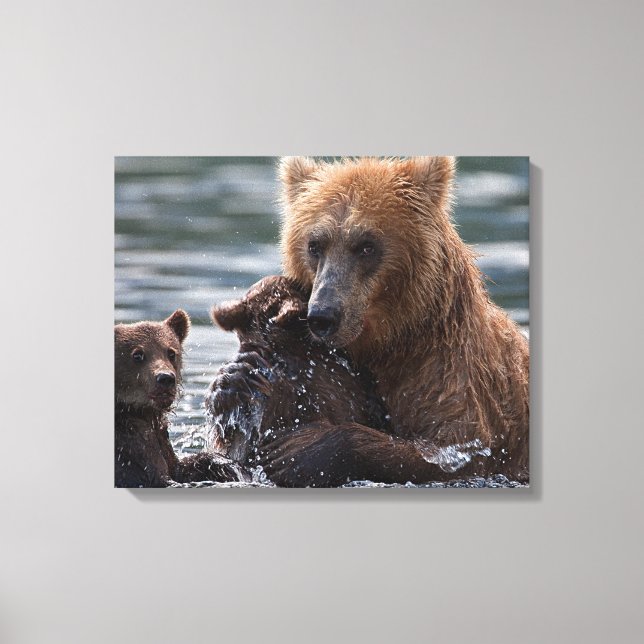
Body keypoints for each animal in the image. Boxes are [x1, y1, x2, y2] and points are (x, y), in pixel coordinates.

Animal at [115, 309, 247, 487]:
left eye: (171, 352)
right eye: (137, 355)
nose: (165, 378)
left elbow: (181, 469)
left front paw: (226, 465)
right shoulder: (130, 450)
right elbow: (157, 476)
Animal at [227, 157, 529, 486]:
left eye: (366, 245)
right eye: (314, 245)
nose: (322, 315)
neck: (395, 340)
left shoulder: (453, 374)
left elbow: (455, 451)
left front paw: (298, 450)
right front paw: (237, 377)